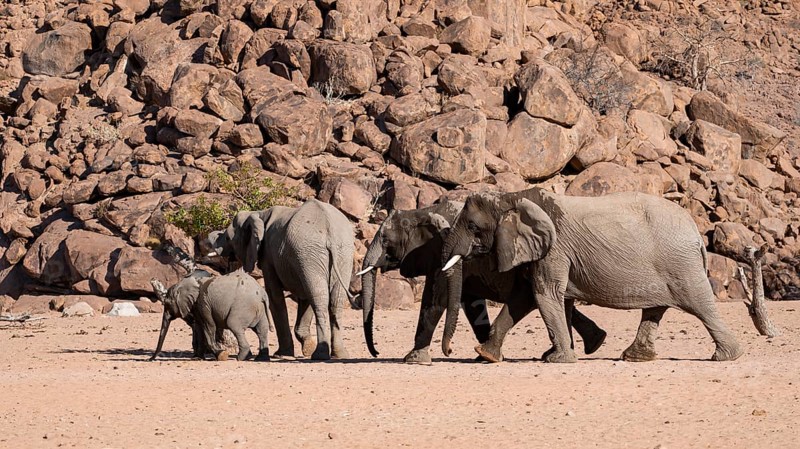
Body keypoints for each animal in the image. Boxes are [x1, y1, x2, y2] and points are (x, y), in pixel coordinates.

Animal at [208, 199, 355, 360]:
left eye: (228, 238)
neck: (258, 214)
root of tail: (329, 230)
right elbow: (305, 295)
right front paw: (307, 347)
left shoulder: (268, 255)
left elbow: (274, 295)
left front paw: (282, 354)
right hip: (341, 253)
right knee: (332, 298)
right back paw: (340, 355)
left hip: (310, 252)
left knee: (319, 297)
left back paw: (320, 356)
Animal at [358, 200, 607, 364]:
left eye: (385, 240)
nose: (376, 353)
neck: (422, 211)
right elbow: (470, 304)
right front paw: (482, 355)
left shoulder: (443, 258)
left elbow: (435, 301)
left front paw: (414, 359)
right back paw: (594, 342)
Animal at [441, 187, 751, 363]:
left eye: (473, 226)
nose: (448, 353)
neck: (511, 196)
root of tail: (695, 230)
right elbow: (530, 297)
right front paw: (487, 355)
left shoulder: (555, 249)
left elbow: (542, 294)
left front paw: (558, 360)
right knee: (656, 309)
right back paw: (636, 358)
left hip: (680, 264)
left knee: (699, 305)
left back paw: (726, 357)